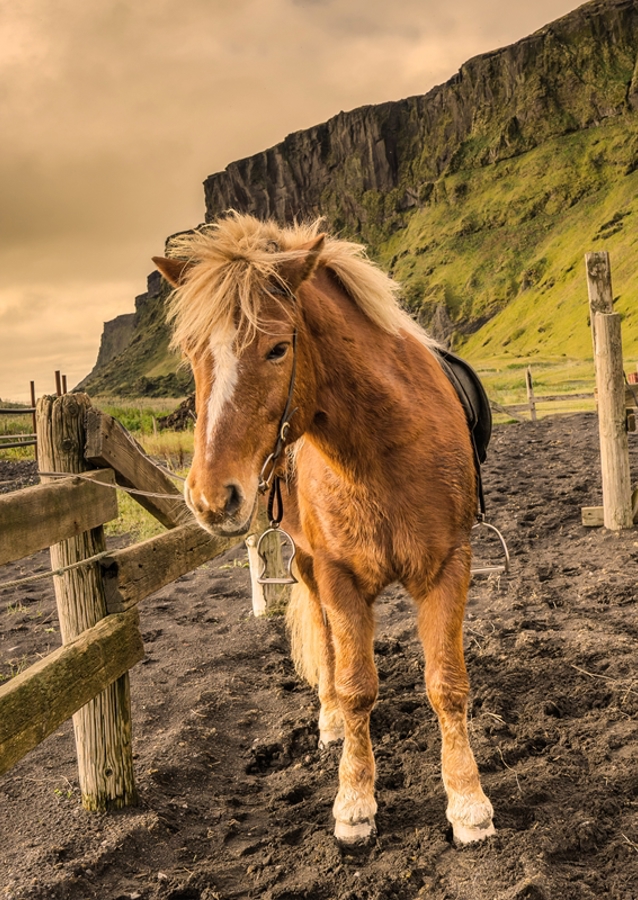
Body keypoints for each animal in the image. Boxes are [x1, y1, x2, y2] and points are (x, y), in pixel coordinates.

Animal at [152, 212, 495, 846]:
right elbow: (358, 685)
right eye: (191, 353)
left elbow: (447, 684)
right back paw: (331, 718)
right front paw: (355, 801)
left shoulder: (448, 567)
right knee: (329, 647)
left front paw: (467, 801)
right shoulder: (338, 578)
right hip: (310, 568)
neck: (381, 452)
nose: (211, 498)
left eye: (277, 348)